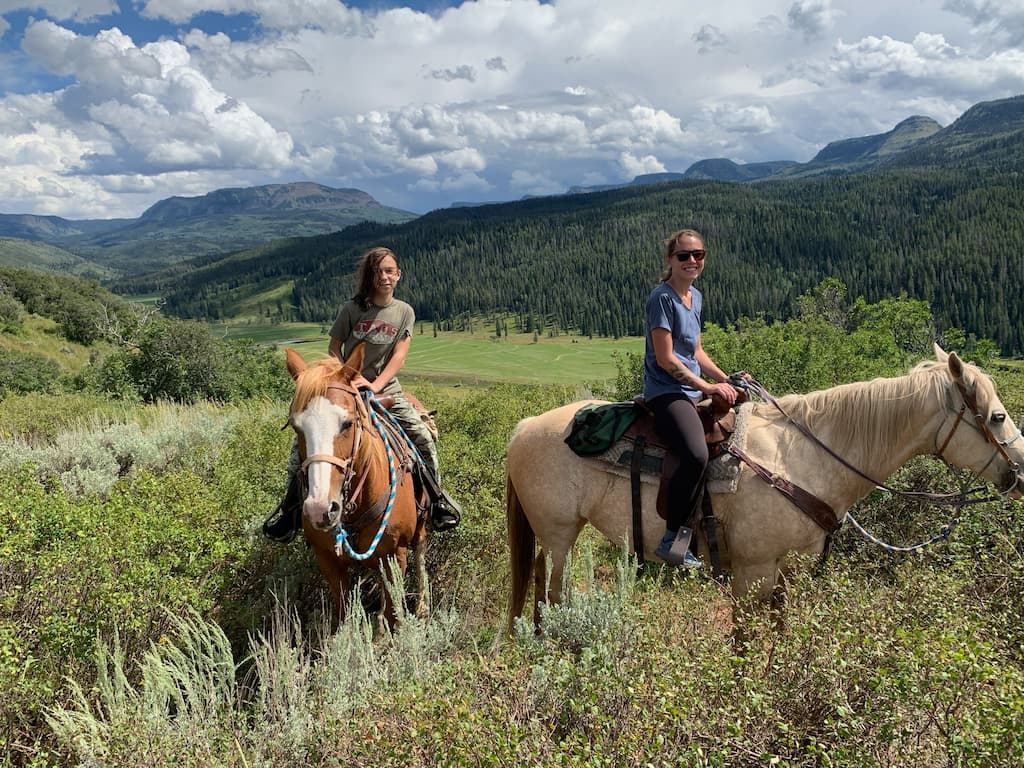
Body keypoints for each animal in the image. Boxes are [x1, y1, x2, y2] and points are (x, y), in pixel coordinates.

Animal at [284, 346, 428, 626]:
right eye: (296, 427)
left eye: (347, 423)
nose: (319, 509)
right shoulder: (329, 561)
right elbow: (344, 616)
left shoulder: (395, 556)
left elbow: (394, 614)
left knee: (421, 550)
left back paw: (423, 606)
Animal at [505, 346, 1024, 634]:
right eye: (997, 416)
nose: (1019, 473)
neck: (802, 459)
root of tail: (525, 426)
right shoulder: (752, 572)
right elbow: (744, 642)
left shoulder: (787, 574)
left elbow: (778, 636)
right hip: (558, 535)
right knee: (549, 597)